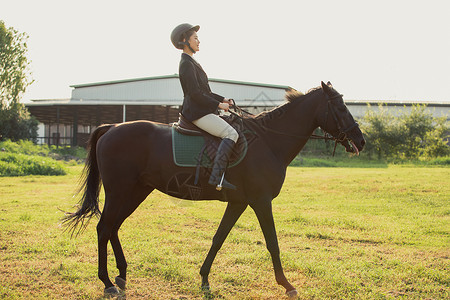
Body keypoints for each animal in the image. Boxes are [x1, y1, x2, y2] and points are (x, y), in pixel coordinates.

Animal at [63, 80, 366, 298]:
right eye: (340, 107)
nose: (361, 141)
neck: (268, 141)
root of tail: (113, 126)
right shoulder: (260, 201)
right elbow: (272, 242)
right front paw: (287, 284)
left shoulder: (239, 202)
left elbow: (218, 238)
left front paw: (205, 279)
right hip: (120, 191)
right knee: (104, 228)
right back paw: (107, 282)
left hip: (136, 191)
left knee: (113, 227)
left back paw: (122, 275)